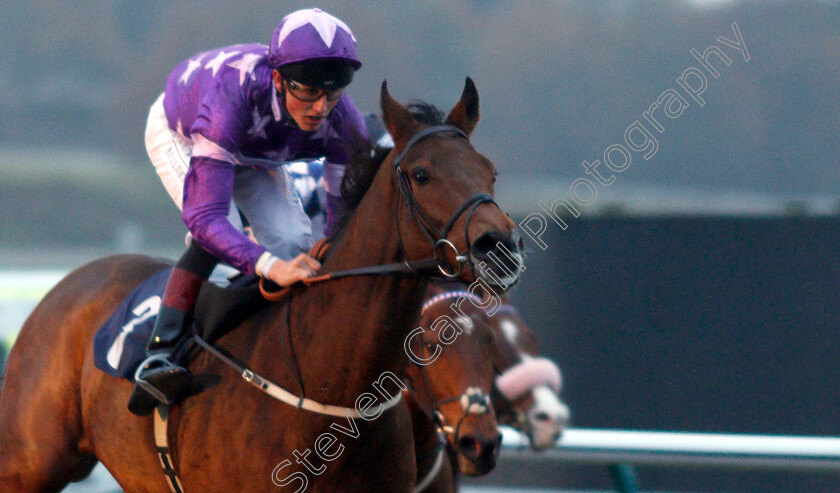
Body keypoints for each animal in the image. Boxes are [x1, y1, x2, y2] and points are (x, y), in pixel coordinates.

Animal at [0, 79, 520, 490]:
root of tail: (67, 283)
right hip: (28, 466)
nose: (499, 246)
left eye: (491, 171)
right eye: (421, 174)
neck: (332, 389)